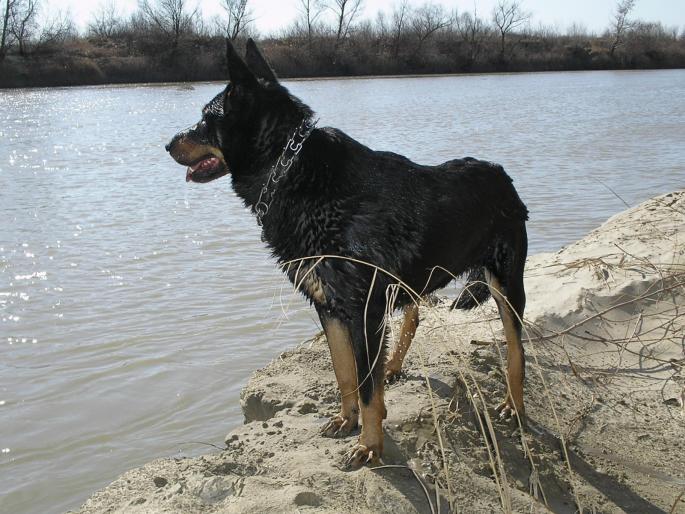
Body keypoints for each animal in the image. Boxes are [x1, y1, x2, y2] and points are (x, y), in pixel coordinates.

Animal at [167, 39, 528, 468]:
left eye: (208, 118)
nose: (167, 144)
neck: (290, 172)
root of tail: (502, 174)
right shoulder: (330, 307)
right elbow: (345, 374)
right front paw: (347, 420)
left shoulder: (363, 309)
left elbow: (367, 387)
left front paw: (370, 445)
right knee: (415, 315)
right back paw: (394, 366)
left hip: (506, 283)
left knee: (517, 351)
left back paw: (514, 405)